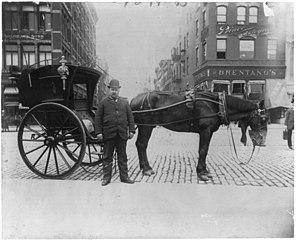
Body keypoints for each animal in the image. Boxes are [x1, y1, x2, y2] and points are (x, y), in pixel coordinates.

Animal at [130, 91, 268, 181]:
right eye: (263, 118)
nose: (262, 142)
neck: (216, 105)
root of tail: (133, 100)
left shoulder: (209, 132)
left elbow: (205, 151)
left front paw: (204, 170)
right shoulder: (205, 131)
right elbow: (203, 150)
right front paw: (202, 172)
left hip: (145, 127)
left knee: (140, 145)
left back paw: (144, 167)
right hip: (146, 127)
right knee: (142, 144)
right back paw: (146, 169)